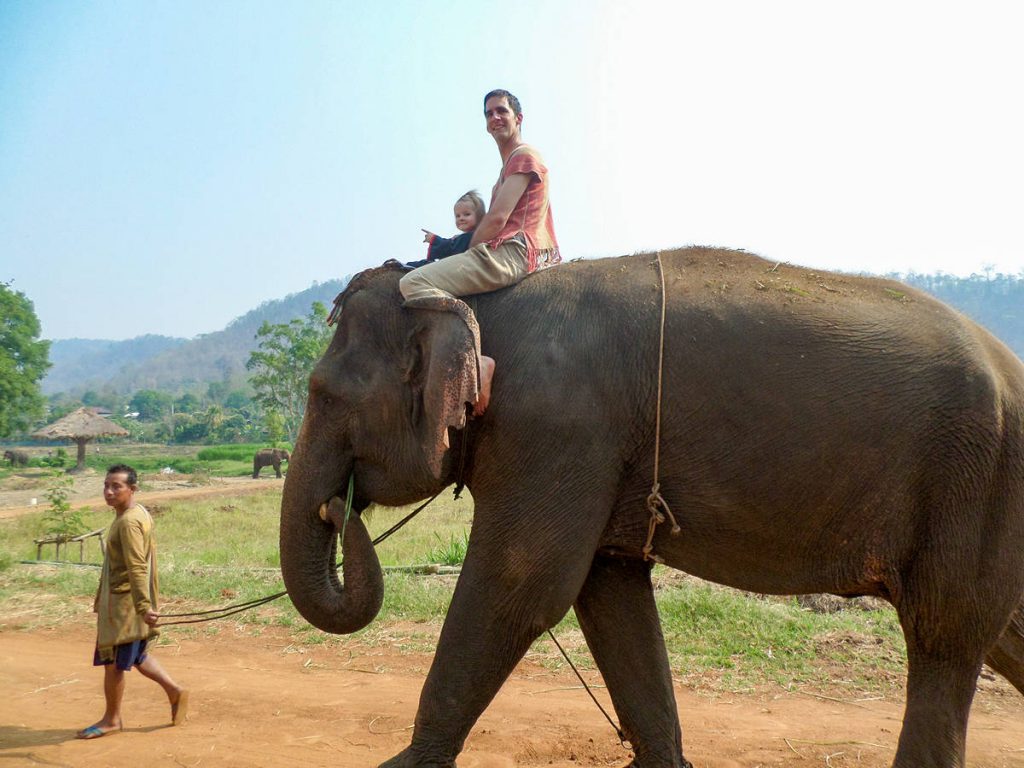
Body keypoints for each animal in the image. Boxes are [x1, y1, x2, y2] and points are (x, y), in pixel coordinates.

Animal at [280, 249, 1024, 768]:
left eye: (322, 394)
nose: (337, 509)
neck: (484, 304)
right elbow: (609, 595)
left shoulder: (559, 430)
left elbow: (521, 587)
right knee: (998, 634)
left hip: (977, 482)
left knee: (945, 635)